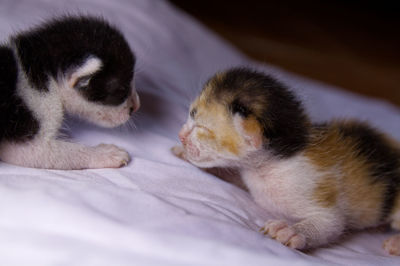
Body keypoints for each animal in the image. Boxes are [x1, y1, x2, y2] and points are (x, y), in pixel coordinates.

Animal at [173, 67, 400, 255]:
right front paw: (185, 154)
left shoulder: (313, 188)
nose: (181, 135)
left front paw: (291, 230)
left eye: (202, 128)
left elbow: (331, 223)